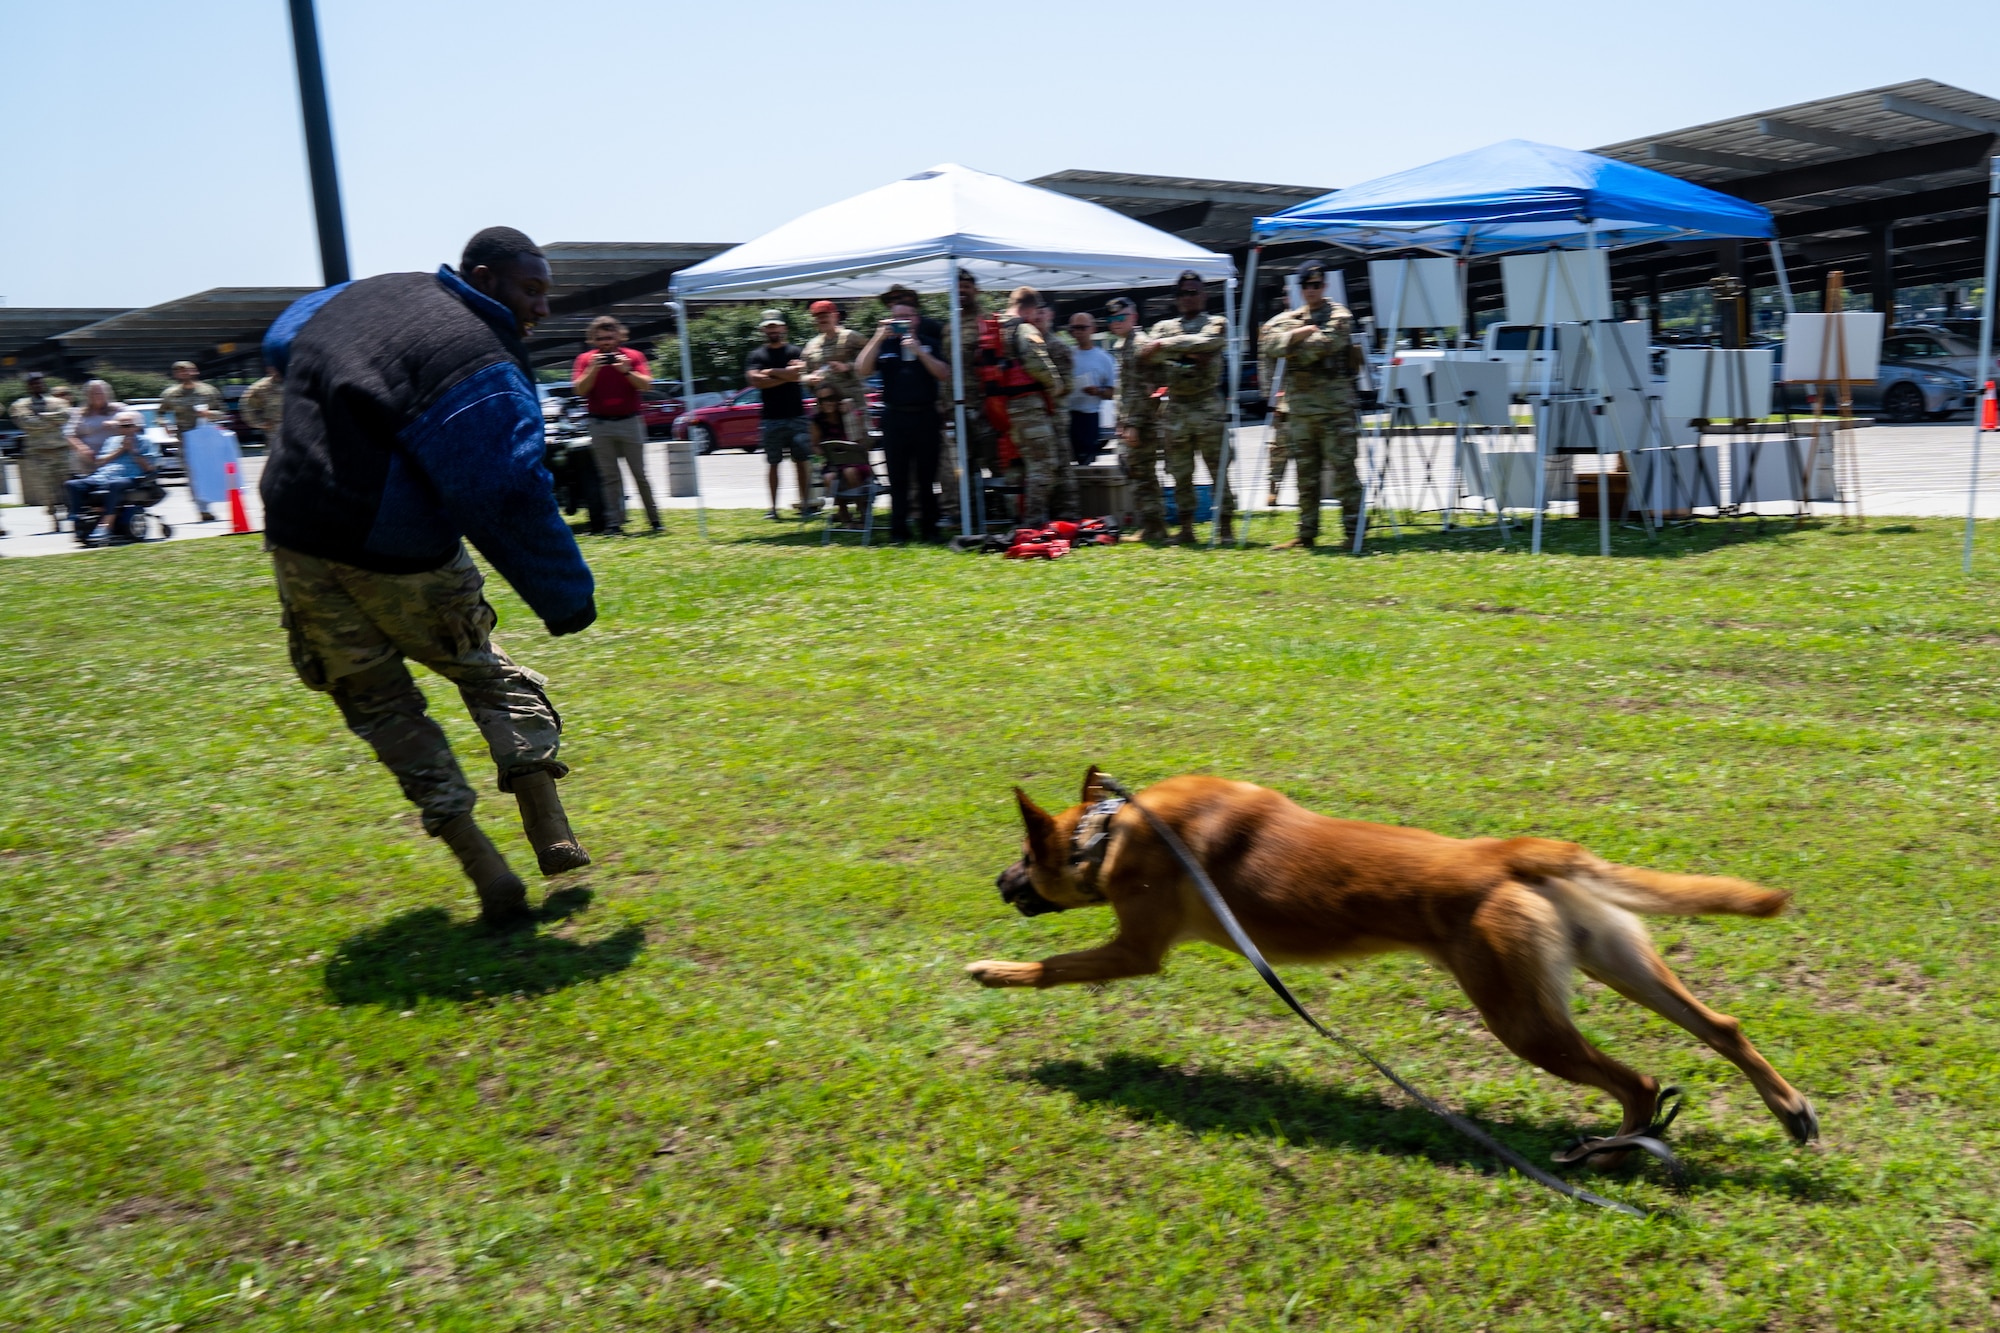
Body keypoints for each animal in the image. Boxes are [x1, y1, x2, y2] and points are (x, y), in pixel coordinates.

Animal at [972, 768, 1832, 1152]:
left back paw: (1611, 1149)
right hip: (1615, 962)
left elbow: (1055, 963)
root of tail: (1510, 852)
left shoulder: (1135, 947)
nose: (999, 880)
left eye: (1025, 855)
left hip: (1521, 1017)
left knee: (1641, 1079)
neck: (1111, 830)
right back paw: (1789, 1108)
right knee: (1721, 1024)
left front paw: (994, 971)